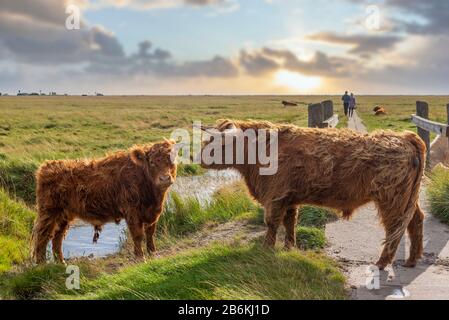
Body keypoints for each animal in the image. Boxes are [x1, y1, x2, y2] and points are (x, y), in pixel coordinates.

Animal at [31, 140, 177, 262]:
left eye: (172, 160)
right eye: (152, 162)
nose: (164, 178)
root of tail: (46, 167)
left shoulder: (153, 213)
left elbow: (150, 233)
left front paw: (153, 253)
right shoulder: (132, 211)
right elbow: (138, 235)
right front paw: (140, 258)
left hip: (64, 215)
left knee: (57, 238)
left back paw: (61, 263)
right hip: (49, 212)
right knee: (42, 237)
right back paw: (42, 265)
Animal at [201, 119, 426, 268]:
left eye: (219, 143)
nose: (200, 159)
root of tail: (406, 137)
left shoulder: (275, 196)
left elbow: (272, 223)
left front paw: (266, 250)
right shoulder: (288, 198)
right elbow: (290, 222)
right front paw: (288, 248)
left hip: (393, 199)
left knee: (395, 228)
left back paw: (381, 263)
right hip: (407, 199)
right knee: (416, 220)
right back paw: (411, 260)